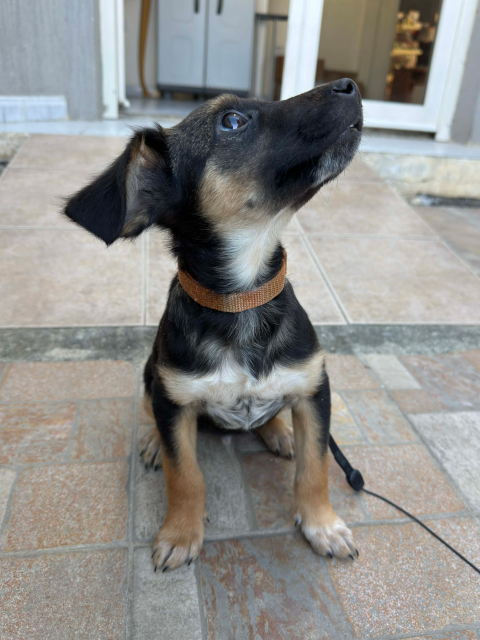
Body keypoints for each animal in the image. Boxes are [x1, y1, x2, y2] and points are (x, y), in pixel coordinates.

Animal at [64, 78, 363, 571]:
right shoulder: (174, 398)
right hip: (152, 373)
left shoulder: (314, 390)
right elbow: (184, 474)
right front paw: (180, 534)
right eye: (232, 121)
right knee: (150, 409)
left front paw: (323, 525)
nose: (350, 86)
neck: (241, 300)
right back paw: (153, 442)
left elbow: (316, 468)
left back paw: (280, 432)